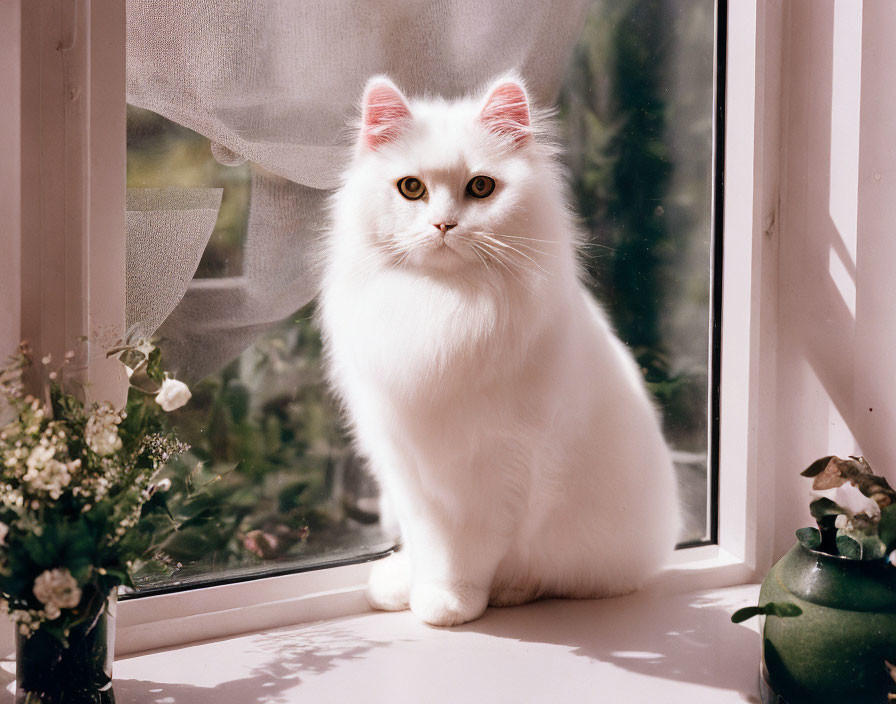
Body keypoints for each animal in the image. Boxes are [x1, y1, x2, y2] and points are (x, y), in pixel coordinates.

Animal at [318, 74, 684, 624]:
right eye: (411, 188)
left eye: (481, 187)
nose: (443, 226)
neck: (444, 306)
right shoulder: (404, 464)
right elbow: (426, 542)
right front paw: (416, 589)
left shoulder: (496, 468)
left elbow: (464, 554)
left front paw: (449, 603)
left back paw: (509, 590)